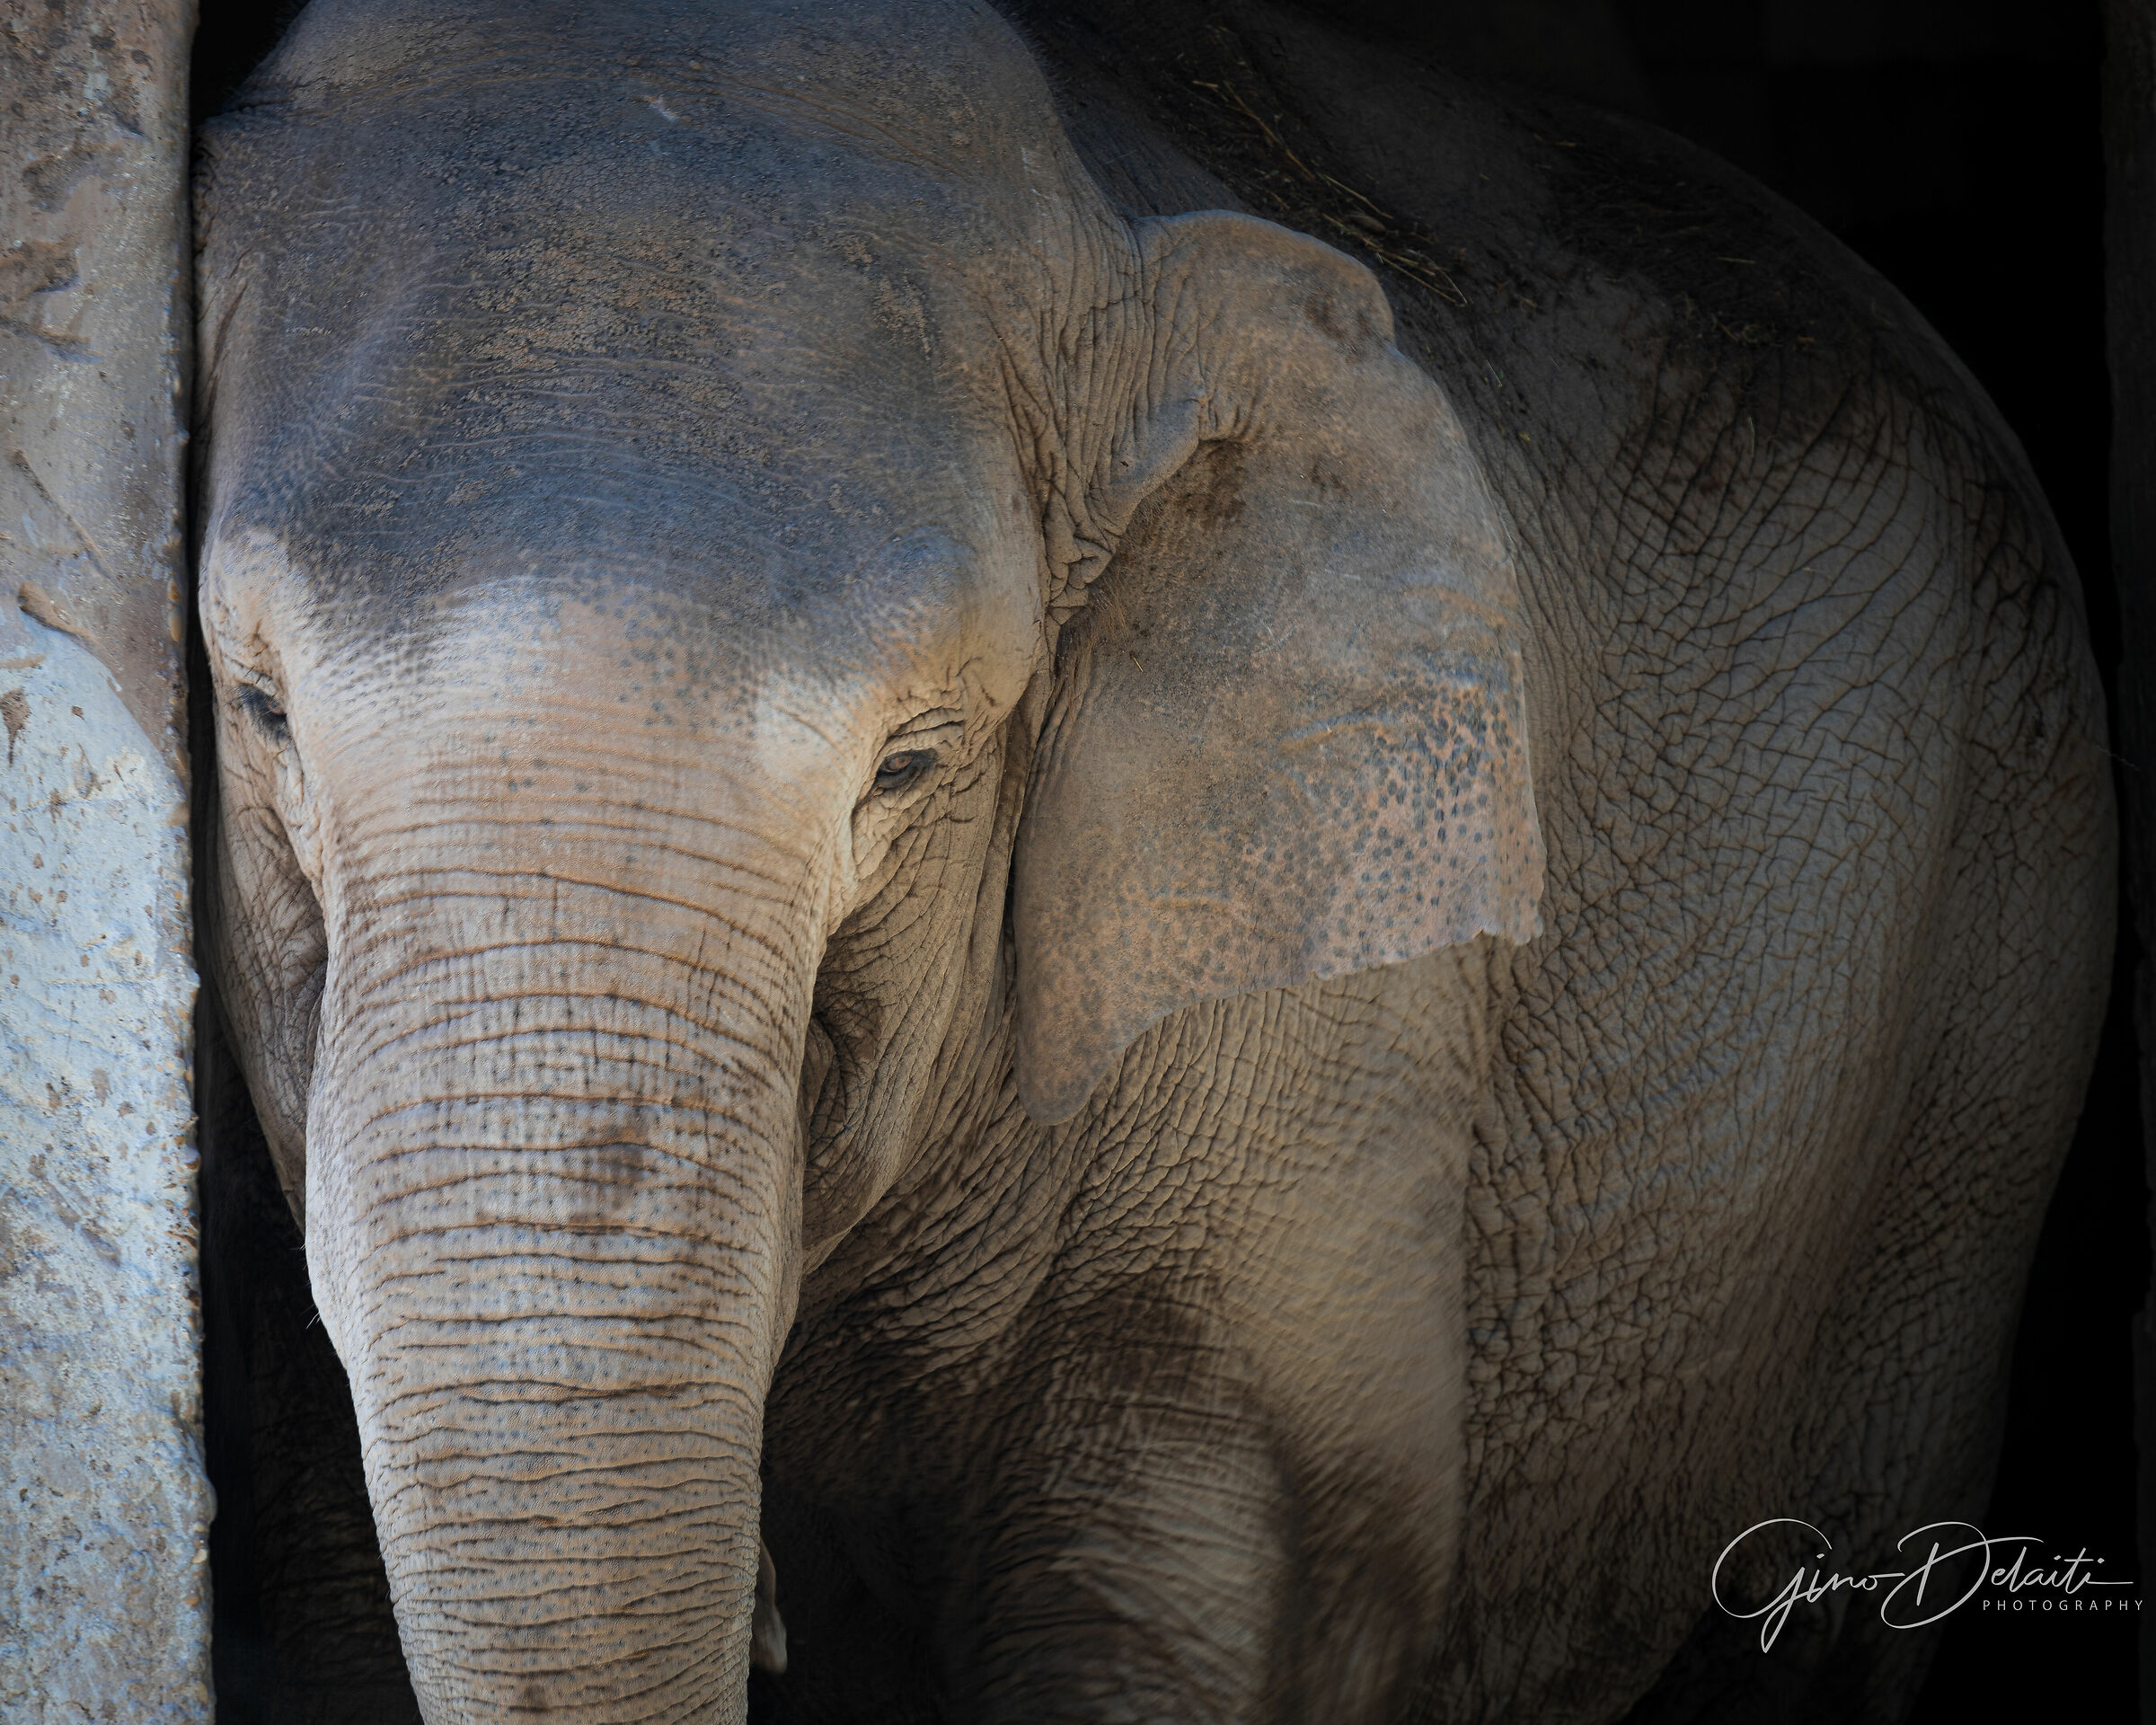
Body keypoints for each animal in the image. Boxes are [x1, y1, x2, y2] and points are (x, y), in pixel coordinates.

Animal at [189, 0, 2115, 1719]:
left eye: (914, 762)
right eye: (260, 708)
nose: (763, 1612)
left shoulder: (1337, 987)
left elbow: (1224, 1570)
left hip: (1978, 1084)